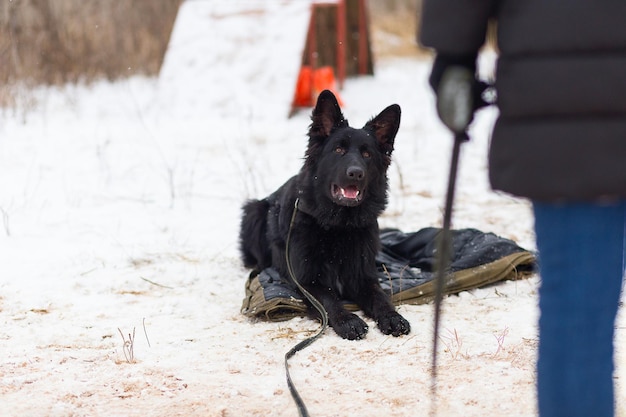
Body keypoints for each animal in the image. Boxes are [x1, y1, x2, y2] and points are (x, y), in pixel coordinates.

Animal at [236, 90, 408, 338]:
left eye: (367, 154)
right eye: (338, 150)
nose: (355, 173)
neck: (339, 226)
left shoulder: (364, 277)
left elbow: (380, 296)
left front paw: (392, 317)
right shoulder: (307, 282)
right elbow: (328, 299)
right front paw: (348, 320)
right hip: (254, 211)